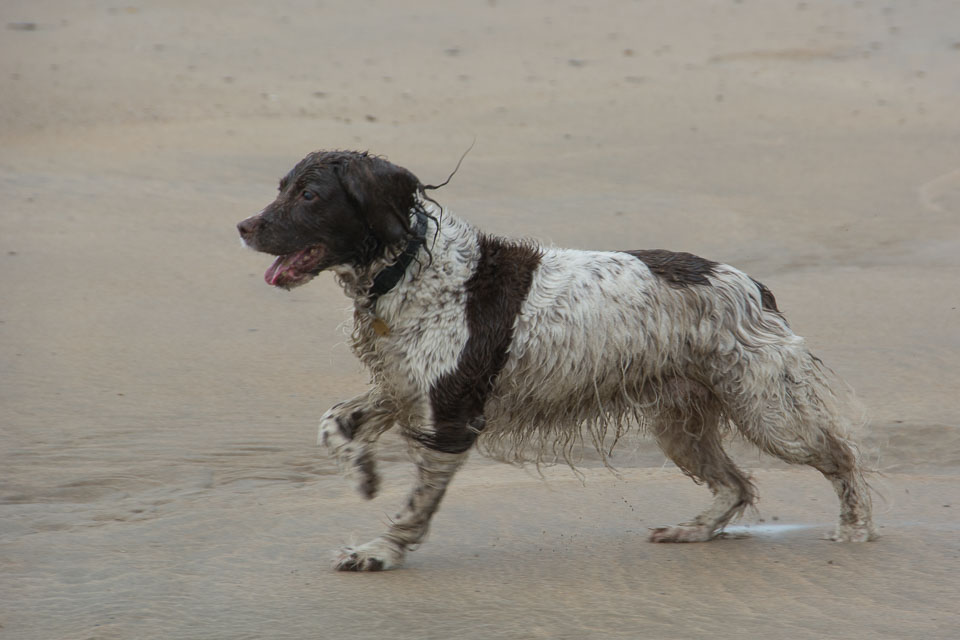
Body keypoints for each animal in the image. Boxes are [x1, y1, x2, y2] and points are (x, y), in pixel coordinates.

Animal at [236, 150, 872, 568]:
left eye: (310, 196)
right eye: (282, 187)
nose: (243, 226)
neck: (409, 267)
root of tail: (753, 285)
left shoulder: (451, 416)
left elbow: (415, 505)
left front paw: (380, 551)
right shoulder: (404, 388)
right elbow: (333, 423)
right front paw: (364, 474)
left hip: (767, 410)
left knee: (842, 455)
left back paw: (856, 529)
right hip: (681, 423)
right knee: (736, 484)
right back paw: (692, 531)